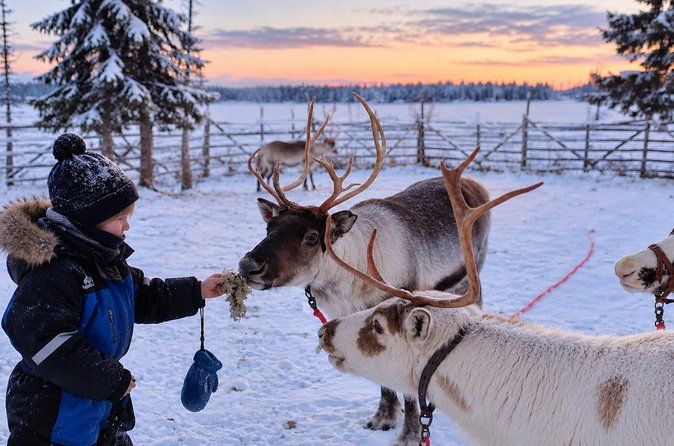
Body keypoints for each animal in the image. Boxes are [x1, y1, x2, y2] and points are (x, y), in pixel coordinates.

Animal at [239, 94, 493, 445]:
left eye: (312, 236)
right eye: (269, 227)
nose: (248, 265)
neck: (351, 283)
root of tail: (475, 184)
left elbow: (407, 389)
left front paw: (408, 434)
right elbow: (383, 380)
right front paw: (383, 417)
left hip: (474, 267)